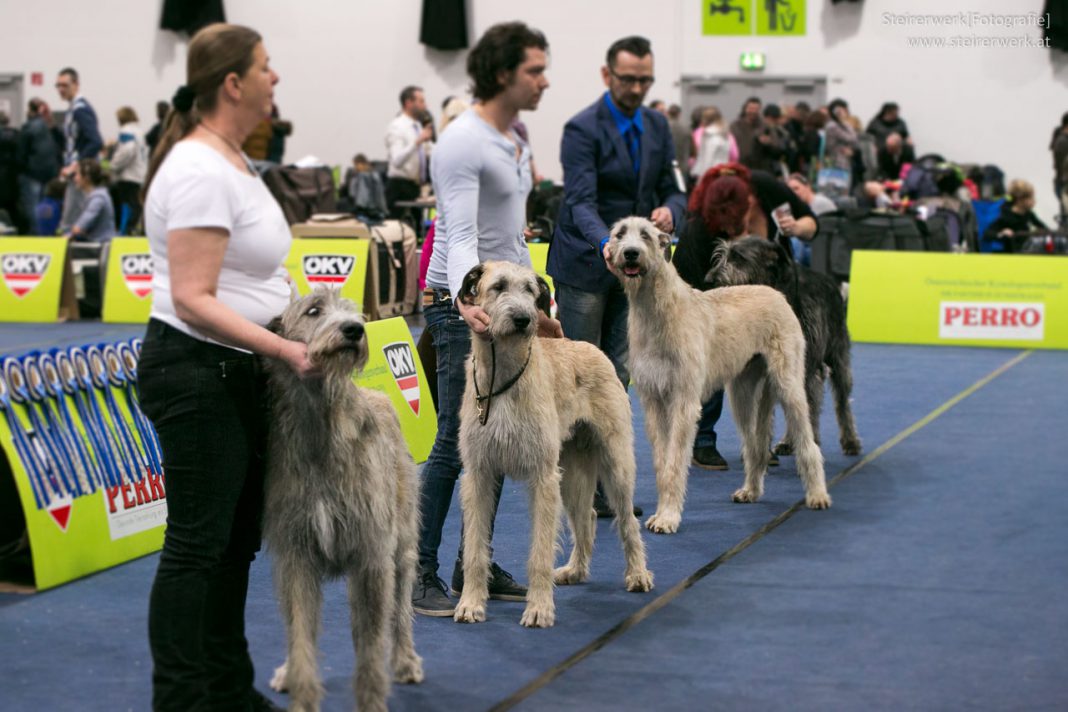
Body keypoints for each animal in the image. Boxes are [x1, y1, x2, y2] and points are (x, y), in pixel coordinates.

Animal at [262, 288, 420, 712]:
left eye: (353, 311)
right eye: (313, 311)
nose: (354, 330)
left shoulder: (372, 556)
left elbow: (371, 645)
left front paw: (371, 700)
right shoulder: (296, 556)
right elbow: (300, 633)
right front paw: (301, 693)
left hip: (401, 542)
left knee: (400, 608)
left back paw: (405, 659)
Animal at [704, 234, 862, 456]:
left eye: (739, 257)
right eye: (721, 255)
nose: (709, 279)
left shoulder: (808, 367)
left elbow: (808, 408)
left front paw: (809, 442)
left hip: (838, 356)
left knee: (841, 401)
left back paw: (850, 440)